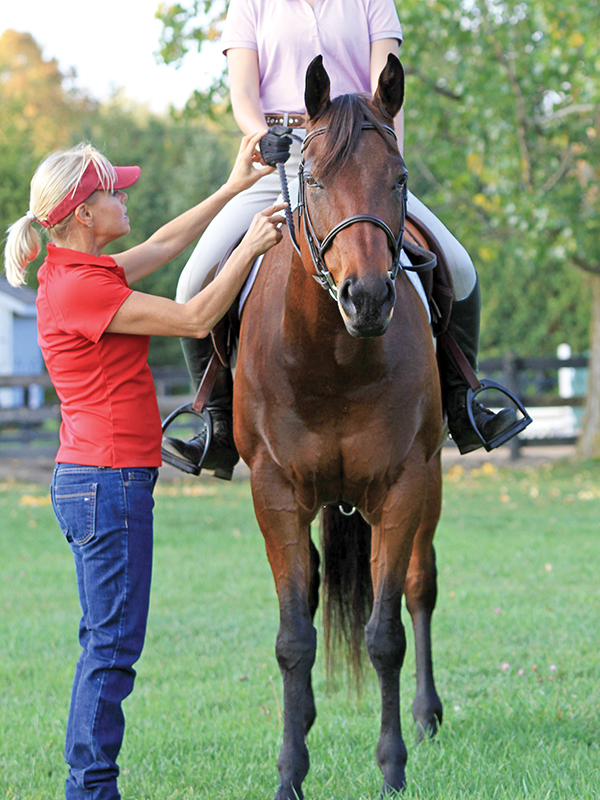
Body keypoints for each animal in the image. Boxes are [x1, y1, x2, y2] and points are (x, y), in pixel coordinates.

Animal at [233, 54, 444, 799]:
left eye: (399, 178)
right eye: (316, 177)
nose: (369, 296)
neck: (333, 357)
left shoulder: (404, 488)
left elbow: (386, 635)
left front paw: (392, 767)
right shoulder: (275, 495)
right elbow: (294, 637)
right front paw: (289, 772)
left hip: (429, 488)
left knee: (419, 587)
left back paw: (428, 716)